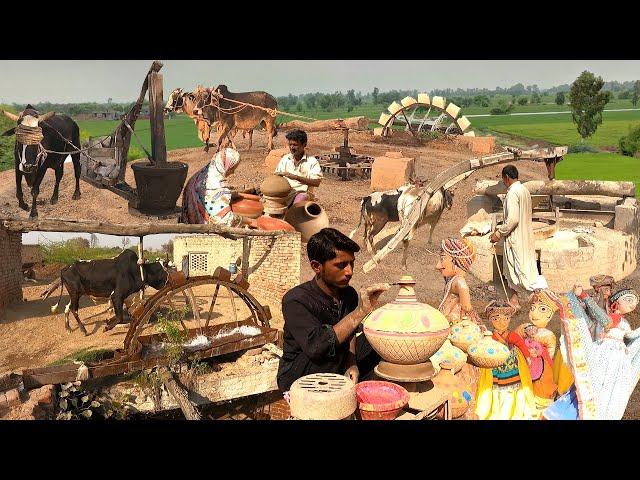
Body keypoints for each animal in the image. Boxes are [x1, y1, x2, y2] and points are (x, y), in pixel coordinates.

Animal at [44, 249, 172, 336]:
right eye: (162, 270)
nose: (169, 281)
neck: (137, 270)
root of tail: (66, 267)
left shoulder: (129, 299)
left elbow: (131, 317)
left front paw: (109, 321)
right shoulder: (116, 296)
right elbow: (120, 317)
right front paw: (107, 327)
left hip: (76, 293)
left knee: (67, 307)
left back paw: (68, 328)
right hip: (74, 293)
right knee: (74, 309)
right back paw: (84, 330)